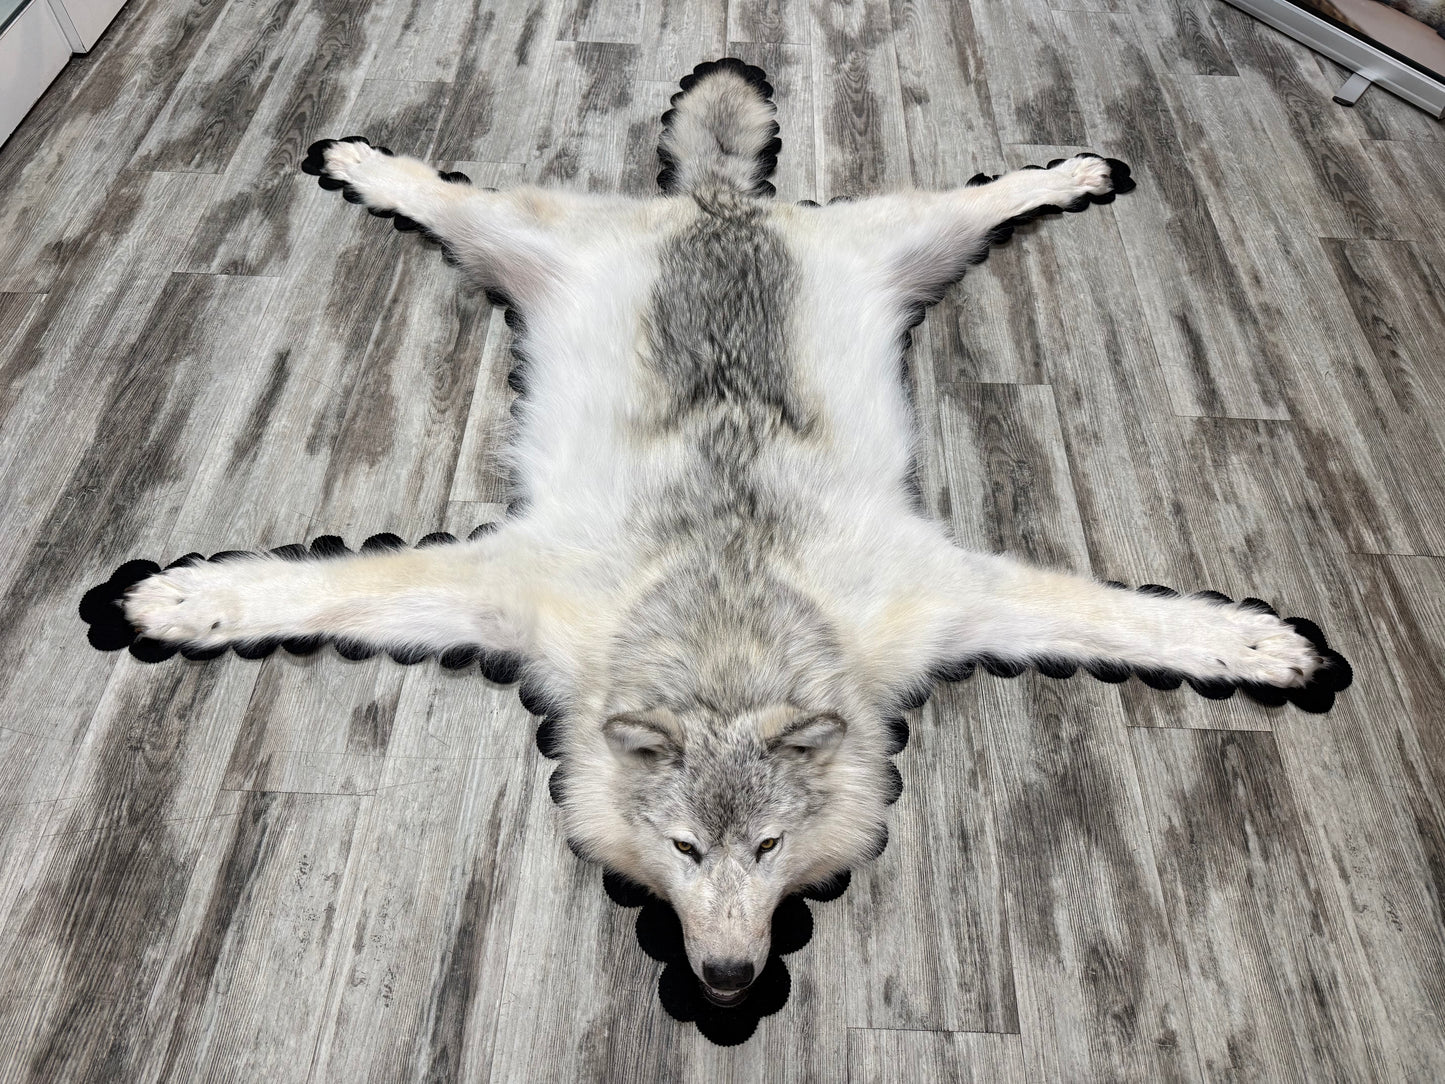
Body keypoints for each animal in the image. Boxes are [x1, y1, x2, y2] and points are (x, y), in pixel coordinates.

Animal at [120, 59, 1350, 1008]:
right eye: (681, 850)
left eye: (766, 851)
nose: (719, 982)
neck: (725, 626)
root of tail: (720, 203)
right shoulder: (508, 588)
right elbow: (321, 589)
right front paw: (180, 599)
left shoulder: (949, 595)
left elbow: (1128, 620)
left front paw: (1257, 647)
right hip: (514, 237)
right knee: (438, 187)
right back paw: (364, 163)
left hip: (908, 241)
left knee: (992, 191)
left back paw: (1071, 173)